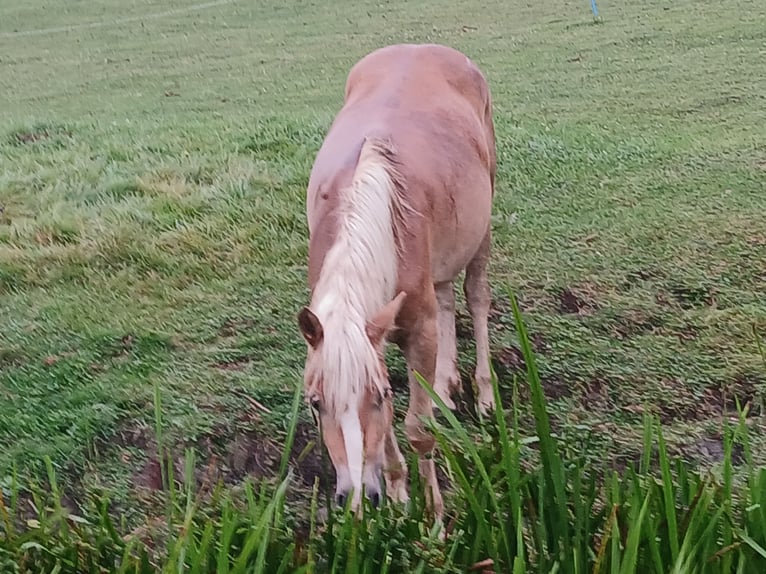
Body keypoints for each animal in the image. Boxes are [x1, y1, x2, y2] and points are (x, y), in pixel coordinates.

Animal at [296, 42, 496, 520]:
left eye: (380, 395)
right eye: (316, 402)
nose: (356, 495)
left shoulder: (415, 329)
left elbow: (418, 430)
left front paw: (435, 518)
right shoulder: (375, 333)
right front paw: (398, 491)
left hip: (482, 229)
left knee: (476, 298)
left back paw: (484, 395)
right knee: (447, 298)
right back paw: (444, 385)